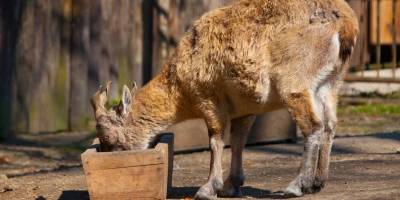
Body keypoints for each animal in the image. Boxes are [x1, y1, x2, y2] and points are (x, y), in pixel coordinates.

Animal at [89, 0, 358, 198]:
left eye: (107, 135)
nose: (110, 156)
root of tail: (346, 25)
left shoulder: (209, 97)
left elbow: (216, 140)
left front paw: (208, 188)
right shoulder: (245, 106)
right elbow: (238, 140)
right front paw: (231, 185)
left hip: (295, 80)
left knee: (313, 125)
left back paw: (297, 184)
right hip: (330, 83)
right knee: (330, 124)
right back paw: (318, 181)